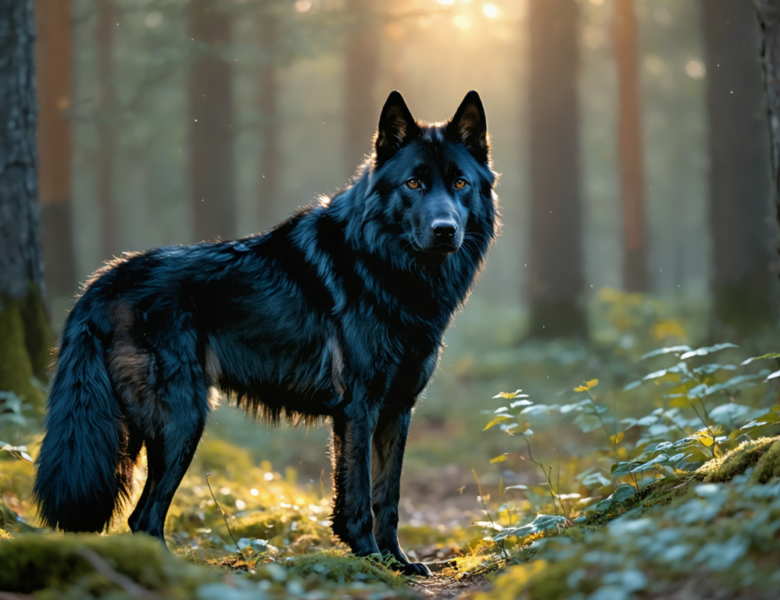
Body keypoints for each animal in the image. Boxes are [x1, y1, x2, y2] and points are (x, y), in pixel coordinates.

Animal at [33, 90, 498, 576]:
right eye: (413, 184)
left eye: (460, 183)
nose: (445, 230)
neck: (390, 267)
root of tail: (99, 283)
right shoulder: (359, 408)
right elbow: (358, 500)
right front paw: (370, 559)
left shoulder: (397, 410)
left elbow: (387, 496)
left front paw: (397, 561)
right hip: (183, 422)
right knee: (144, 516)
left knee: (139, 516)